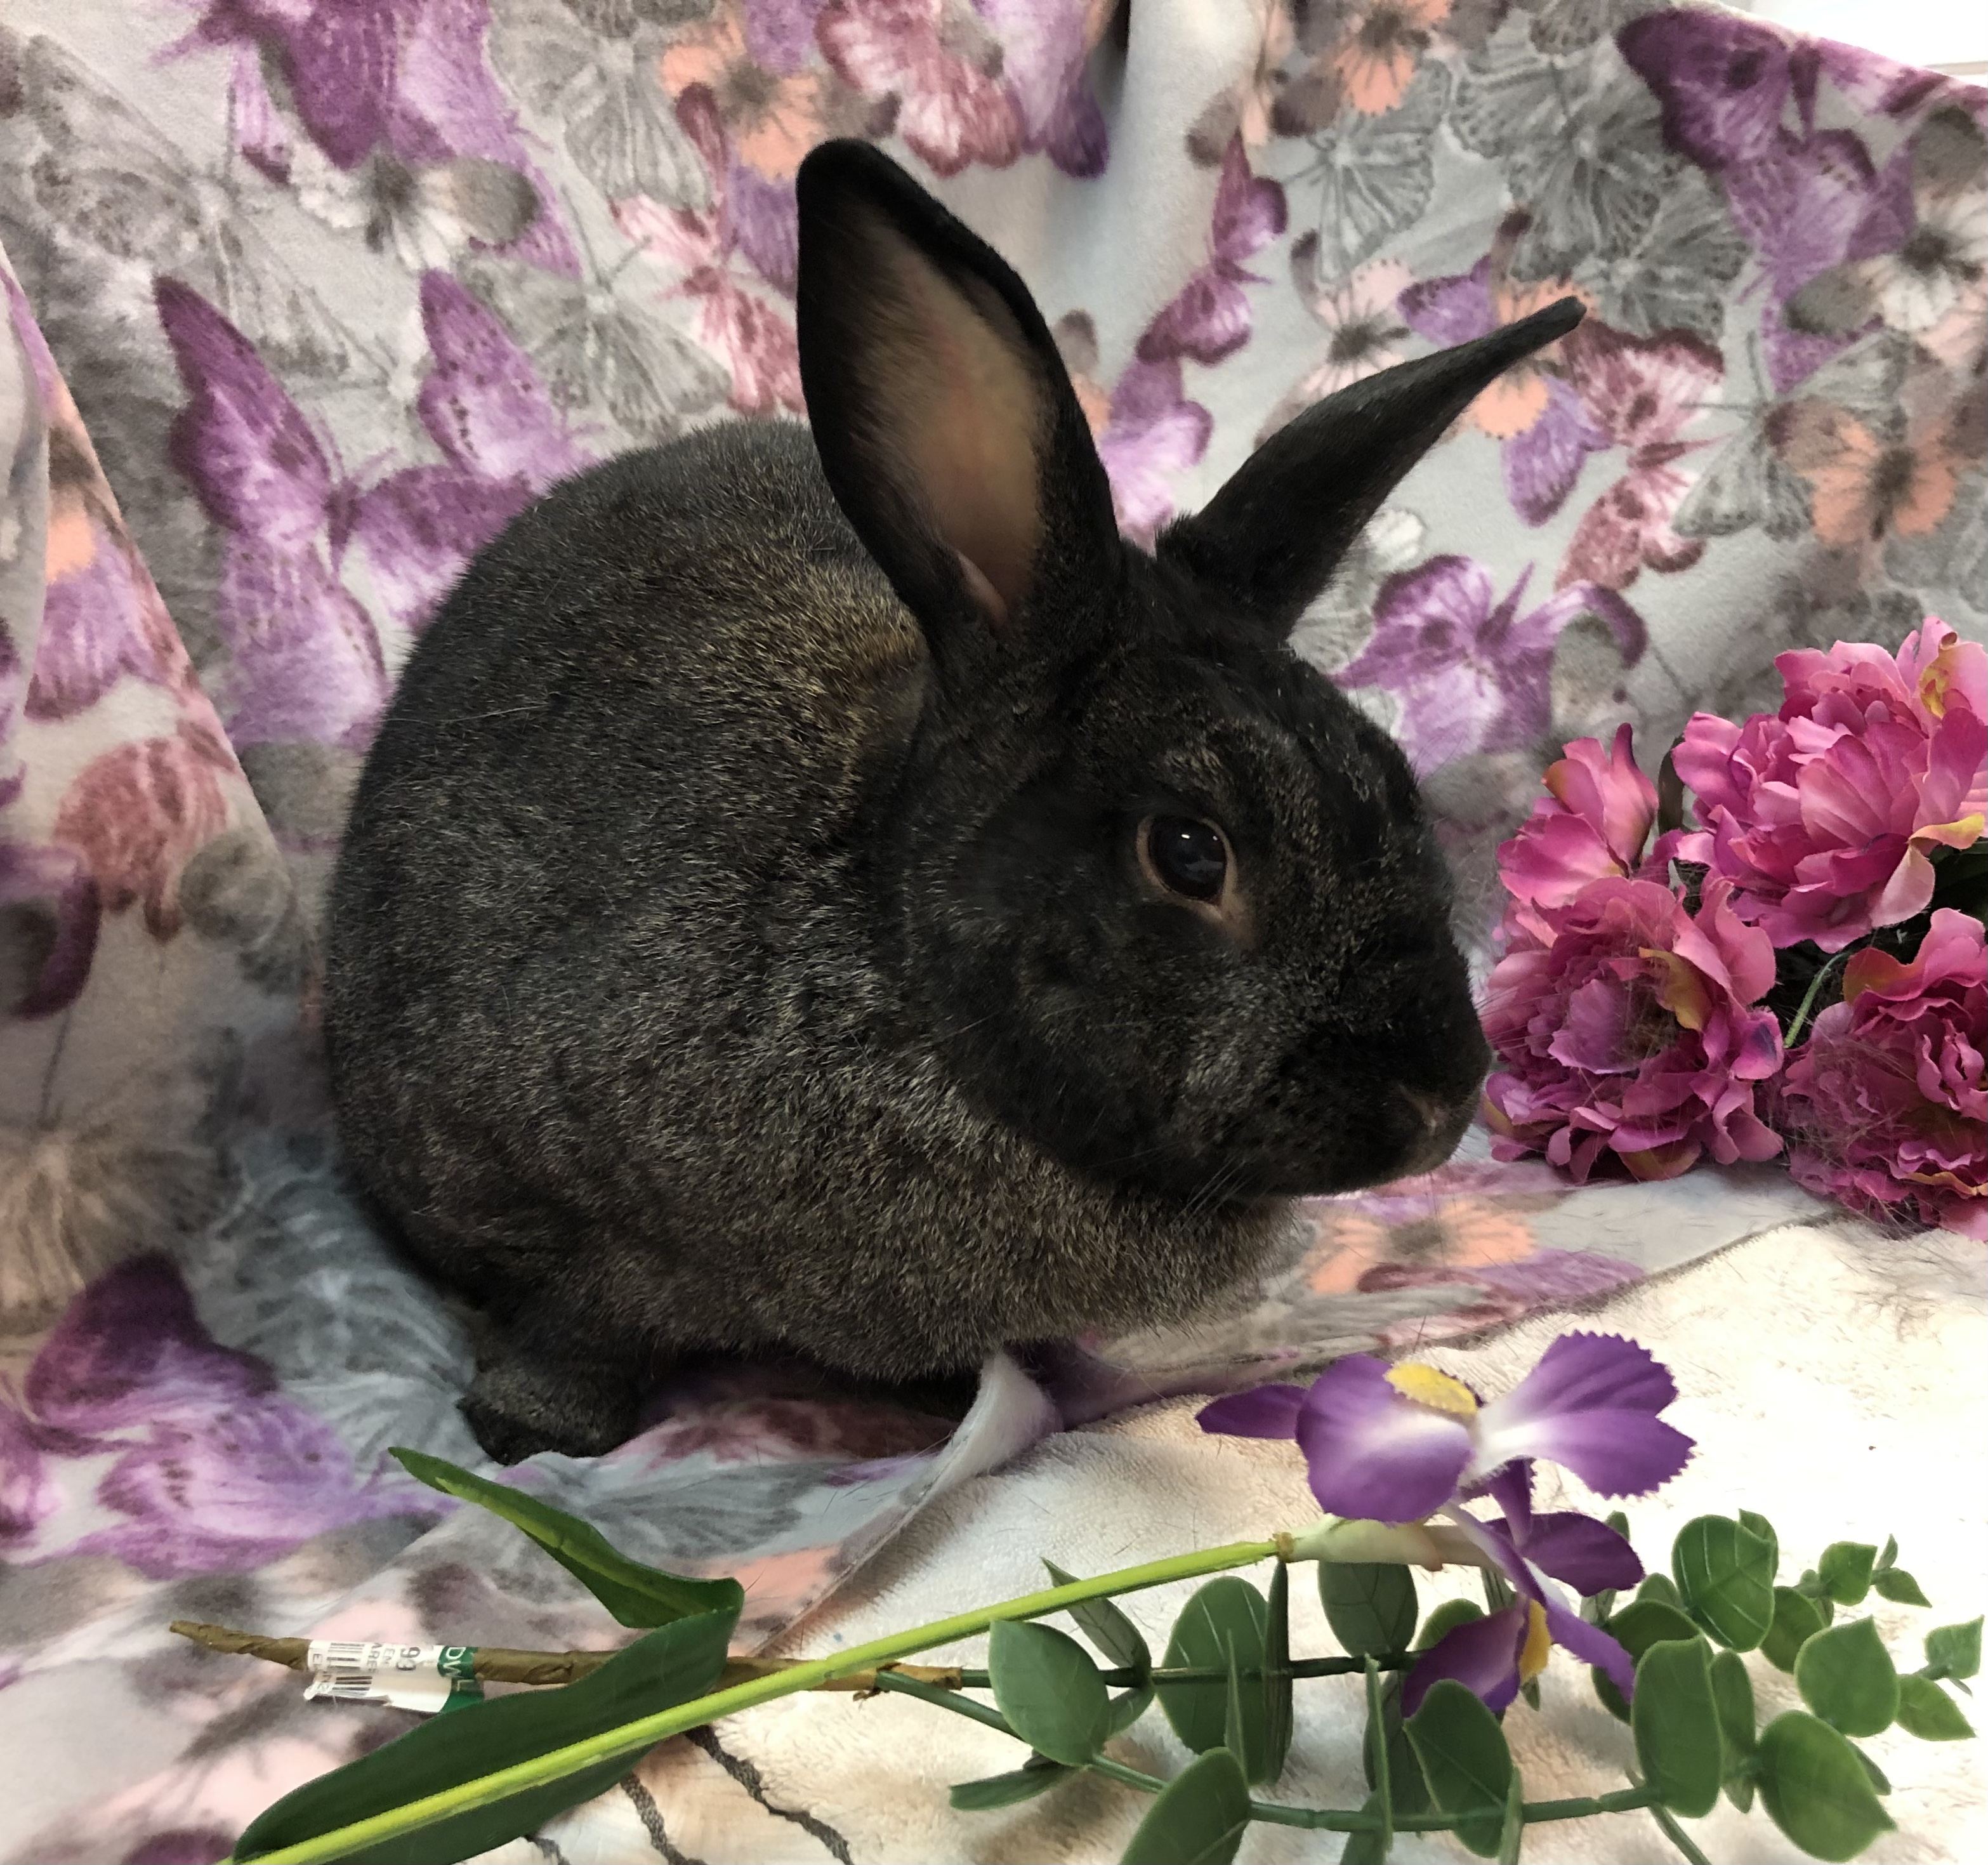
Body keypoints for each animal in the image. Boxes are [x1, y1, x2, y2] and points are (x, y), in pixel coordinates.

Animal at [324, 139, 1583, 1464]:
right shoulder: (585, 1225)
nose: (1440, 1101)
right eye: (1190, 852)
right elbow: (585, 1320)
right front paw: (527, 1435)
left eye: (1394, 775)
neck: (885, 951)